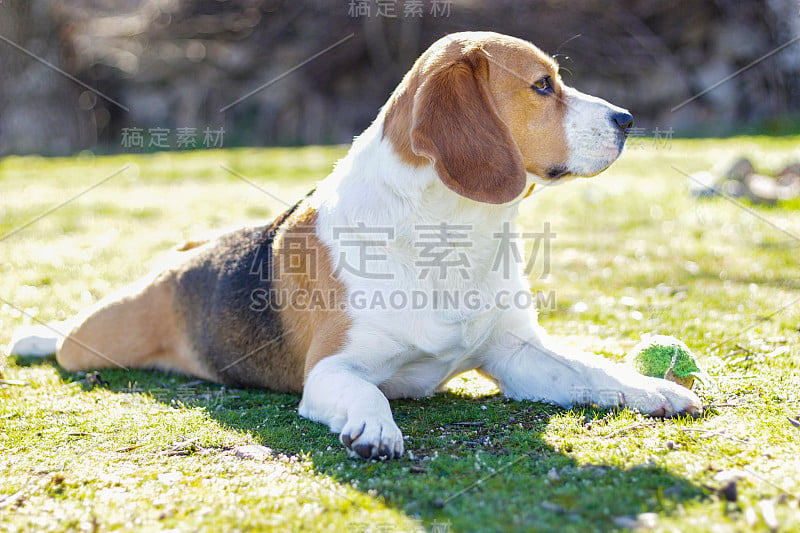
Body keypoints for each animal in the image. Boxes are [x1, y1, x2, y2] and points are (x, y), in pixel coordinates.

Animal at [10, 32, 700, 458]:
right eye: (542, 86)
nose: (627, 120)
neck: (449, 235)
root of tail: (187, 255)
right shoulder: (332, 371)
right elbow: (367, 392)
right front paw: (374, 428)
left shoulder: (516, 353)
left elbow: (591, 369)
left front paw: (652, 388)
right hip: (98, 340)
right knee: (69, 339)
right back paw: (36, 336)